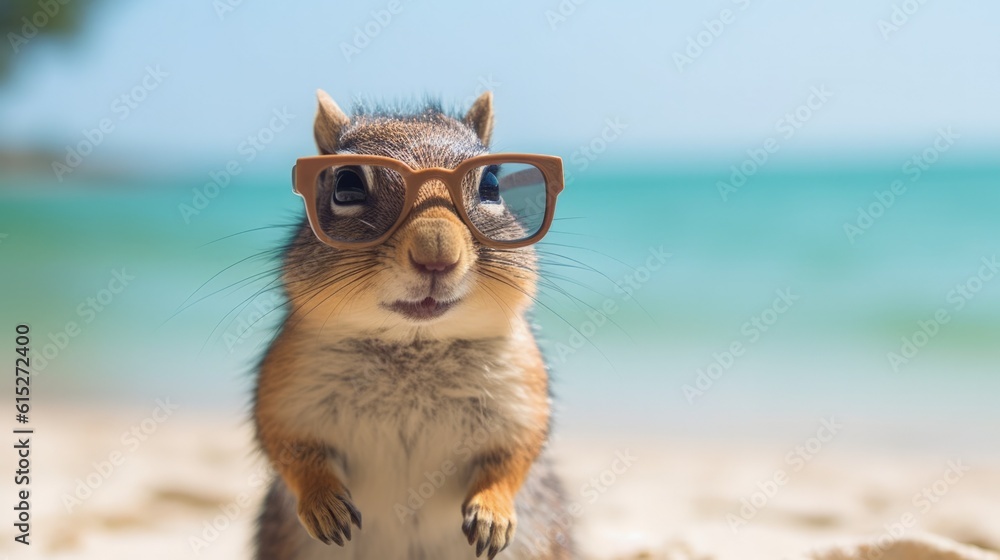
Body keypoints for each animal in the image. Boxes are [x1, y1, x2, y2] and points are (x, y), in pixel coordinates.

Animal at [252, 90, 574, 560]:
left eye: (491, 185)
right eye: (347, 184)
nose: (435, 254)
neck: (414, 346)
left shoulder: (522, 394)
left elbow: (514, 455)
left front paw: (493, 512)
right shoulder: (285, 389)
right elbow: (289, 447)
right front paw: (323, 503)